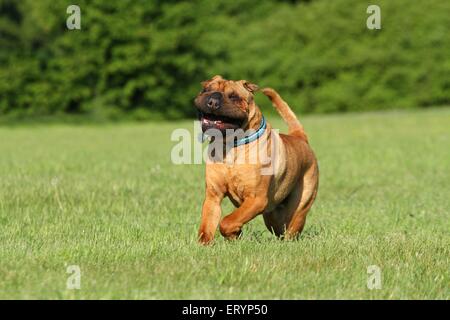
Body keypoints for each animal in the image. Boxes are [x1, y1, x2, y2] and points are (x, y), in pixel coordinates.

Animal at [195, 75, 318, 245]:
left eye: (234, 97)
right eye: (206, 89)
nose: (212, 101)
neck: (232, 147)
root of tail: (299, 137)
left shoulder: (256, 199)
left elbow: (227, 221)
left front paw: (233, 234)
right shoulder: (213, 196)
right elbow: (207, 224)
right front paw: (205, 244)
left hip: (299, 207)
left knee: (292, 229)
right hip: (272, 216)